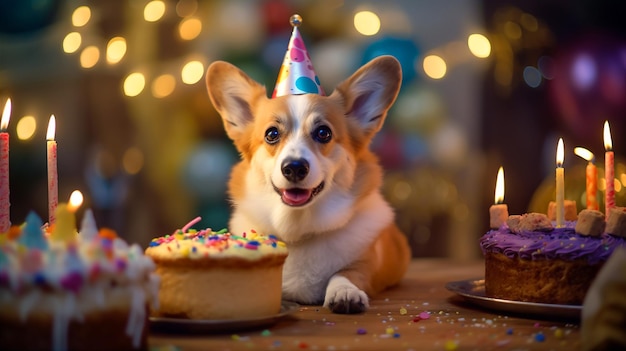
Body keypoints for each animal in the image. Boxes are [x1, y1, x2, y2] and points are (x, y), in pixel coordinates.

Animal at [205, 55, 410, 316]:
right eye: (272, 134)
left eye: (323, 133)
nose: (294, 168)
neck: (298, 229)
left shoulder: (367, 265)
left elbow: (346, 273)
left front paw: (345, 292)